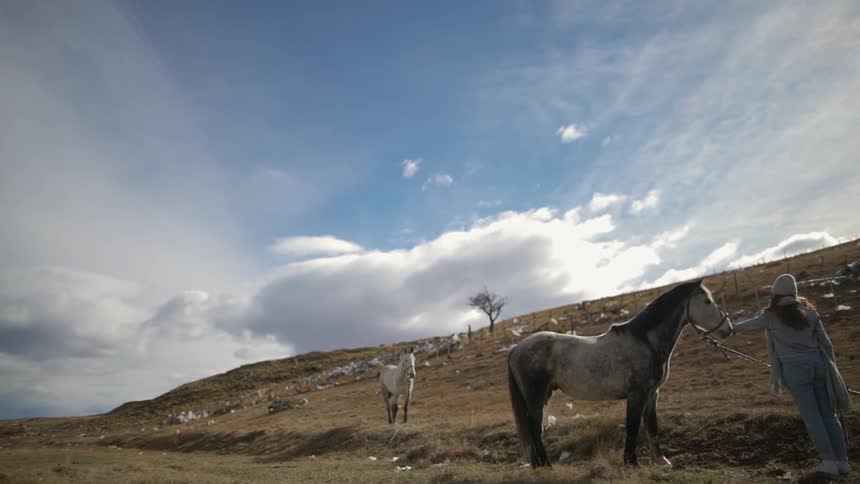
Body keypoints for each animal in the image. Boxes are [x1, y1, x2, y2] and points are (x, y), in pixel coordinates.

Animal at [507, 279, 732, 468]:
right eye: (707, 301)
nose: (728, 329)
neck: (645, 341)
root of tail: (516, 348)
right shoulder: (637, 394)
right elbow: (632, 425)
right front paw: (632, 462)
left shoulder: (652, 393)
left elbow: (651, 425)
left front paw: (661, 460)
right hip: (536, 397)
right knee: (534, 427)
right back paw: (546, 465)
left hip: (544, 395)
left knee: (534, 428)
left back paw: (538, 465)